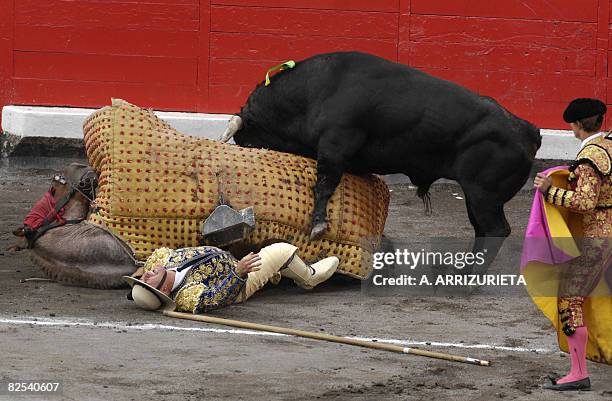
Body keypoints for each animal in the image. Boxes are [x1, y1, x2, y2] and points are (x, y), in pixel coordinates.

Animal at [222, 51, 544, 274]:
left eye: (249, 140)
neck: (316, 90)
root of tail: (526, 131)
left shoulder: (334, 147)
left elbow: (324, 184)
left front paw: (318, 224)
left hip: (483, 194)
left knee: (495, 230)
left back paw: (469, 280)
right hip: (479, 198)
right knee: (483, 231)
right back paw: (462, 270)